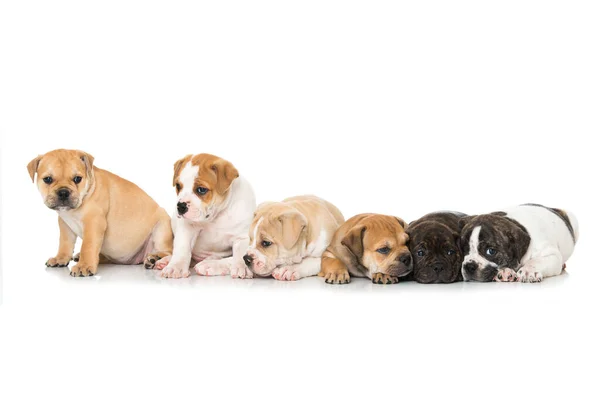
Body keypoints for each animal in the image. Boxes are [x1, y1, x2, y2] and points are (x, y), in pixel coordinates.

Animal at [28, 148, 173, 276]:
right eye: (47, 179)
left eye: (77, 179)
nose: (63, 192)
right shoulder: (65, 225)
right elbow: (65, 243)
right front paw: (61, 258)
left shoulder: (93, 223)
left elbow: (88, 246)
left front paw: (84, 266)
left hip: (162, 229)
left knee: (168, 251)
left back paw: (155, 258)